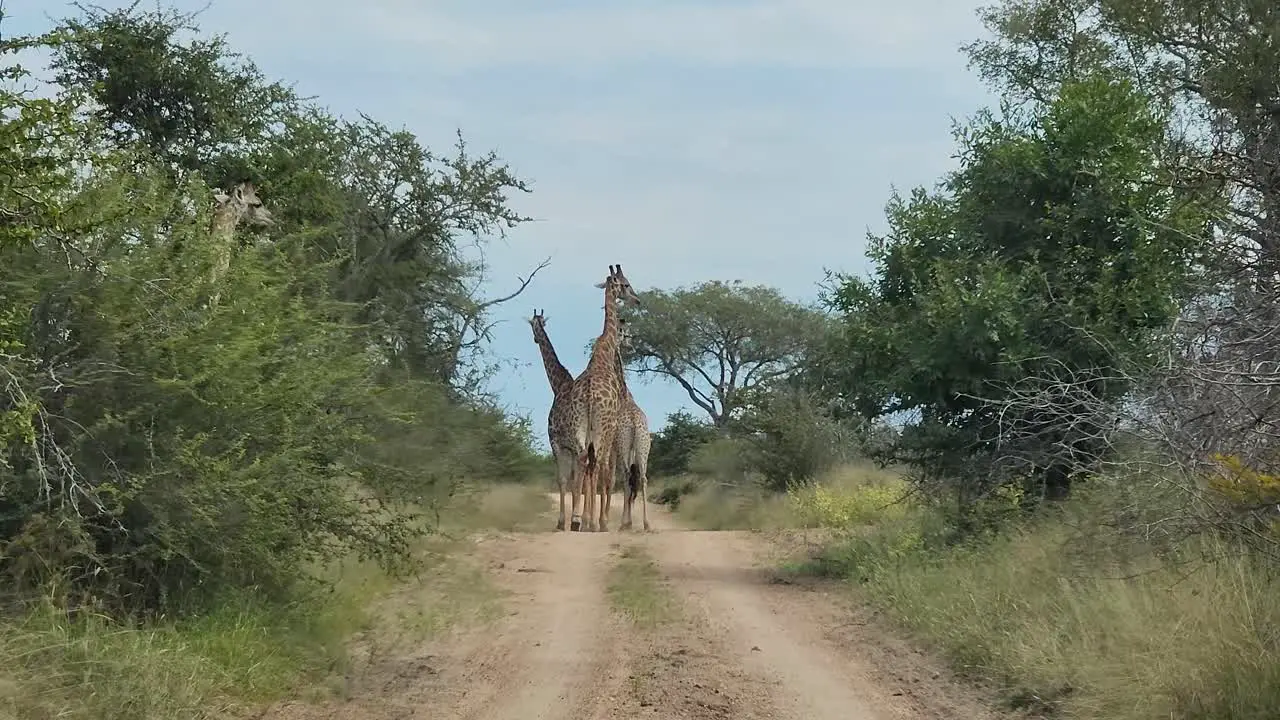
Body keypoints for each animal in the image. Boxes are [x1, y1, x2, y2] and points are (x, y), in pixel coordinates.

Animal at [565, 266, 640, 530]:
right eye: (626, 284)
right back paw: (594, 522)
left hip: (579, 426)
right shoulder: (612, 427)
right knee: (599, 466)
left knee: (583, 461)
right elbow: (606, 471)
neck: (603, 354)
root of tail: (588, 394)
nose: (637, 300)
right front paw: (600, 520)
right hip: (603, 427)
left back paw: (577, 519)